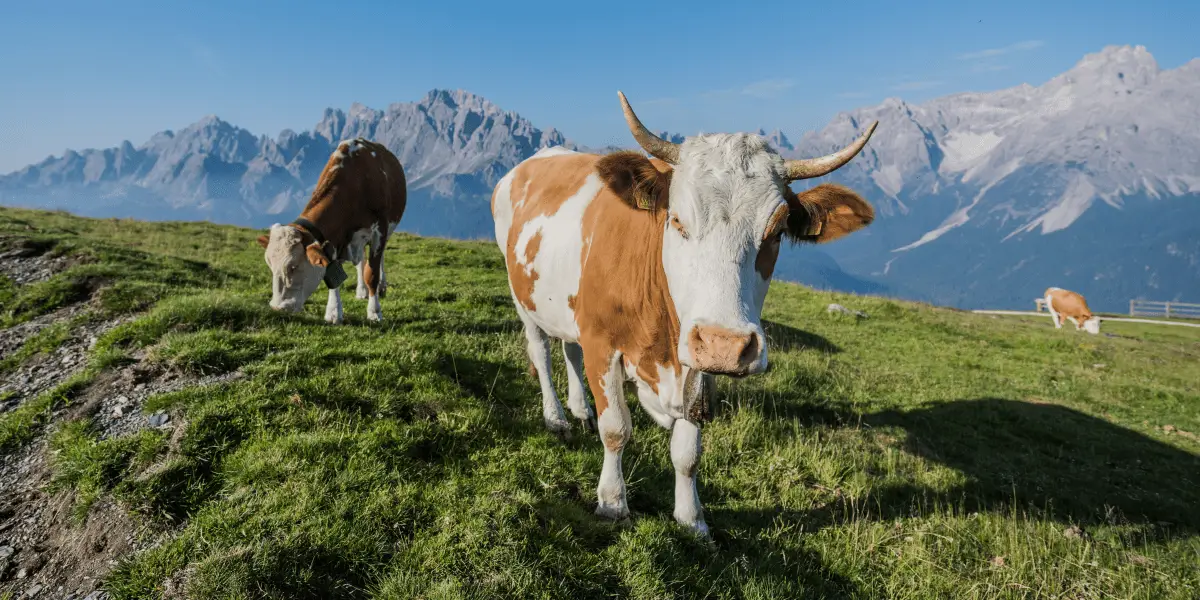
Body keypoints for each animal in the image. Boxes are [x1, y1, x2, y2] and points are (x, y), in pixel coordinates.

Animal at [257, 138, 407, 324]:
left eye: (293, 266)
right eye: (270, 265)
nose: (277, 308)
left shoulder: (380, 229)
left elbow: (372, 273)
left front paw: (374, 312)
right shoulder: (336, 238)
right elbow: (333, 274)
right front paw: (334, 311)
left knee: (379, 259)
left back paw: (381, 286)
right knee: (360, 261)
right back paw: (361, 291)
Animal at [490, 91, 879, 536]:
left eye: (778, 232)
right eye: (676, 219)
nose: (725, 345)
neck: (662, 346)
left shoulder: (695, 360)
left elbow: (688, 451)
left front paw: (692, 519)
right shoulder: (602, 341)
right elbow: (616, 429)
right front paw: (612, 501)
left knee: (569, 349)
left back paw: (580, 409)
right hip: (522, 295)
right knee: (540, 351)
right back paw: (556, 417)